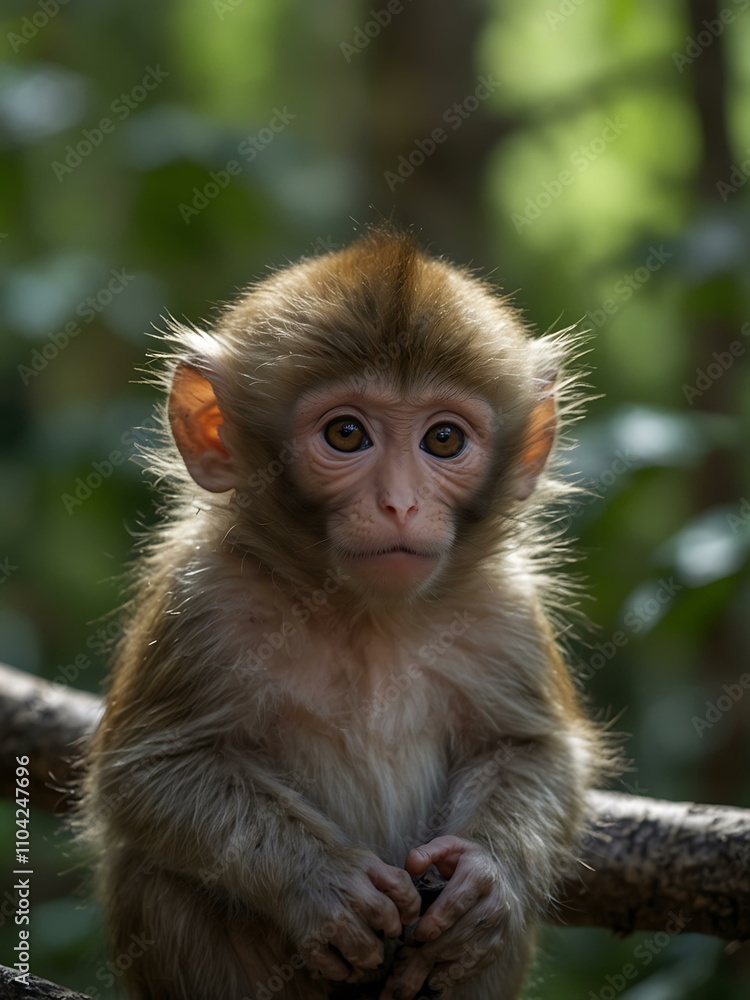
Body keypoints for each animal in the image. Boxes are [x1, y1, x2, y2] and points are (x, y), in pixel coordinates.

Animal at [78, 227, 601, 1000]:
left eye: (443, 439)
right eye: (347, 434)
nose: (400, 503)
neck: (364, 618)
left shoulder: (504, 611)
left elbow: (536, 750)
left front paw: (486, 878)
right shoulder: (201, 602)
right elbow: (145, 773)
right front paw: (323, 886)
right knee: (153, 873)